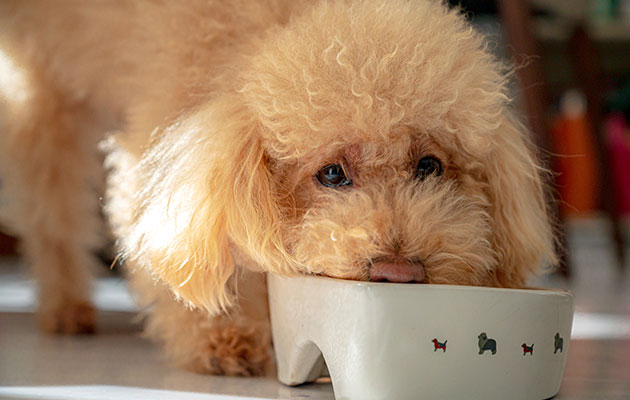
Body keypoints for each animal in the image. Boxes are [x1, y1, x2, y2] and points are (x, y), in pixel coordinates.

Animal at [0, 0, 556, 376]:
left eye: (429, 166)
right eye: (331, 174)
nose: (398, 271)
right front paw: (223, 340)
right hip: (42, 93)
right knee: (50, 205)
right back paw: (65, 306)